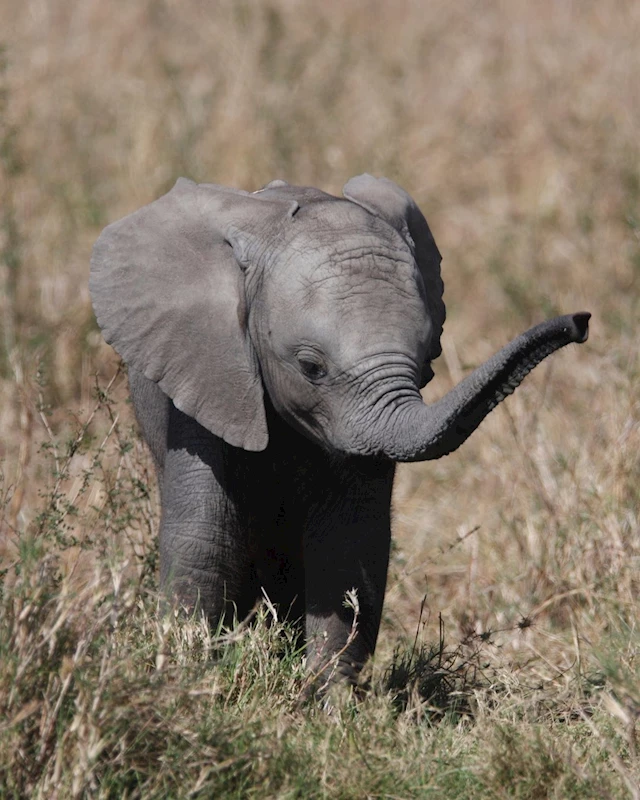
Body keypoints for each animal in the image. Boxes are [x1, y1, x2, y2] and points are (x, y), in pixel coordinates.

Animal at [90, 175, 592, 688]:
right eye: (311, 367)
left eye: (428, 359)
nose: (581, 321)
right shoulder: (207, 371)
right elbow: (205, 537)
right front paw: (190, 680)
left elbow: (348, 544)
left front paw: (327, 699)